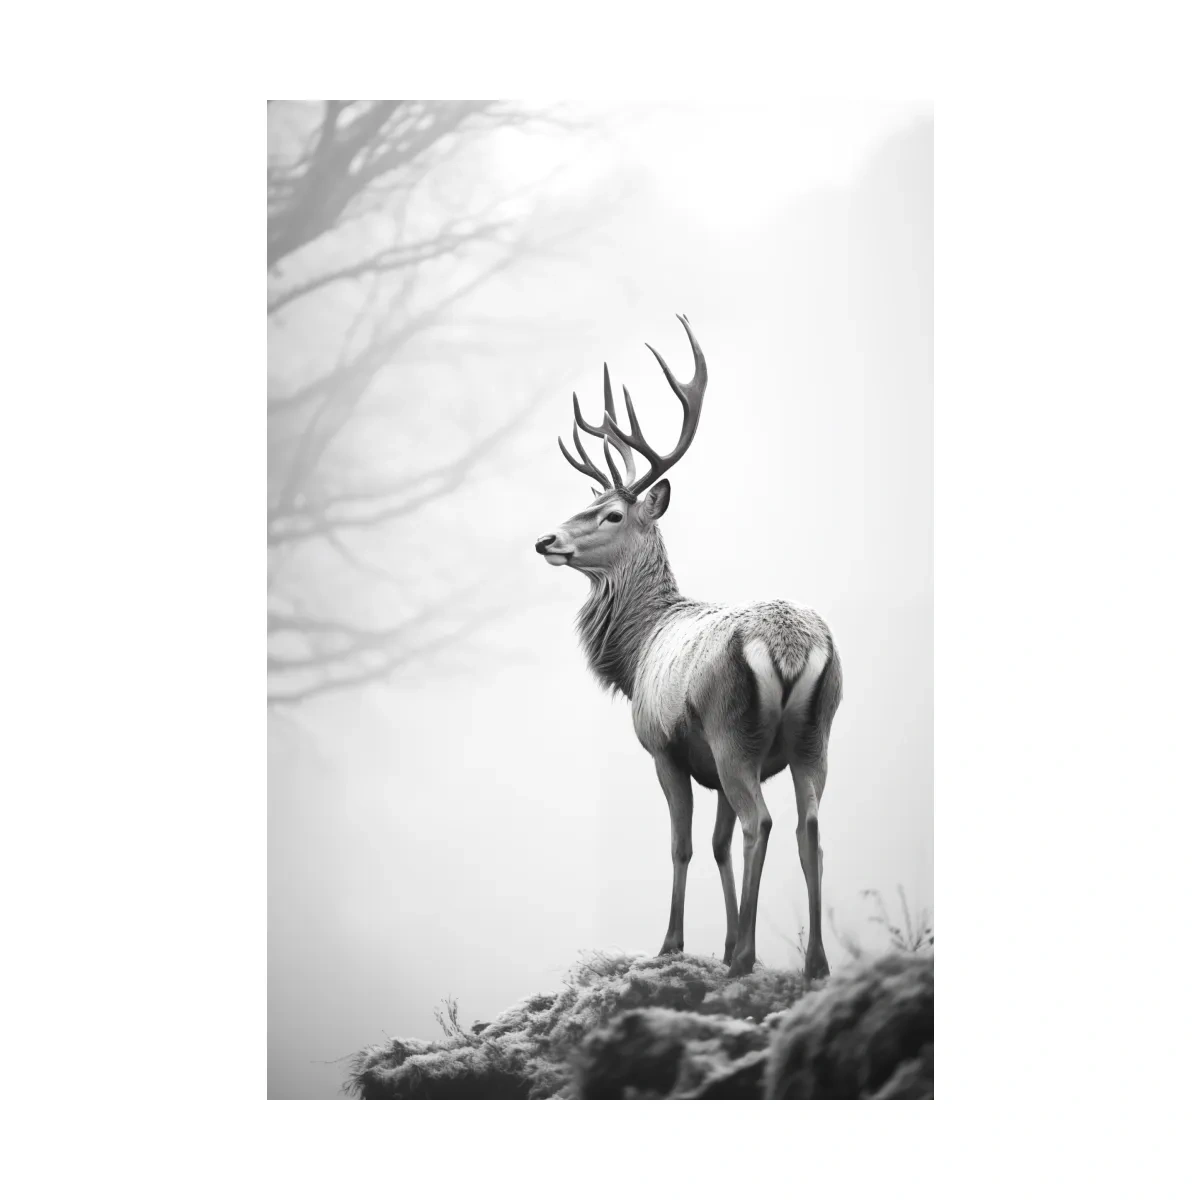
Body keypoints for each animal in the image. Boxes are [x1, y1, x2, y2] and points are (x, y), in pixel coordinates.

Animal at [534, 315, 843, 978]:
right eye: (588, 502)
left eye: (612, 513)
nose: (545, 539)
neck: (636, 652)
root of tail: (790, 646)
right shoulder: (712, 767)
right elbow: (718, 845)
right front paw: (721, 940)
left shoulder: (664, 747)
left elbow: (684, 846)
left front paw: (675, 943)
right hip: (815, 734)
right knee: (807, 827)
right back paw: (813, 964)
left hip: (732, 729)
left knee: (762, 821)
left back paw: (747, 957)